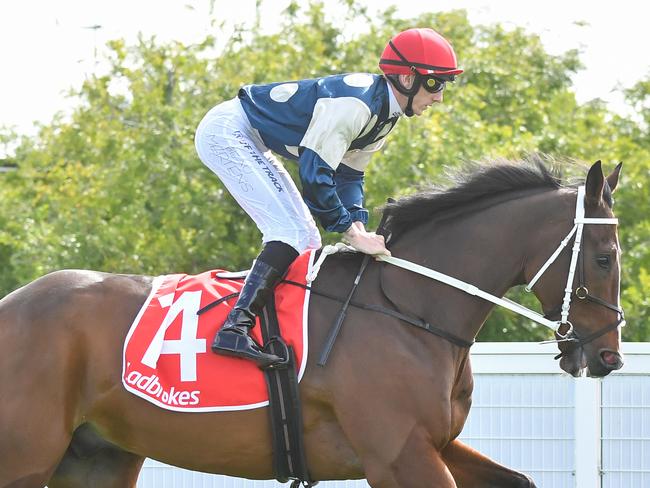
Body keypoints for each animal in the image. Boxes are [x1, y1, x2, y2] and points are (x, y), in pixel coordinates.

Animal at [0, 157, 620, 488]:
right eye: (606, 257)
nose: (607, 356)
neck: (410, 307)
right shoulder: (398, 452)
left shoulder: (433, 442)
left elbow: (518, 478)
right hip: (27, 456)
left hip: (97, 455)